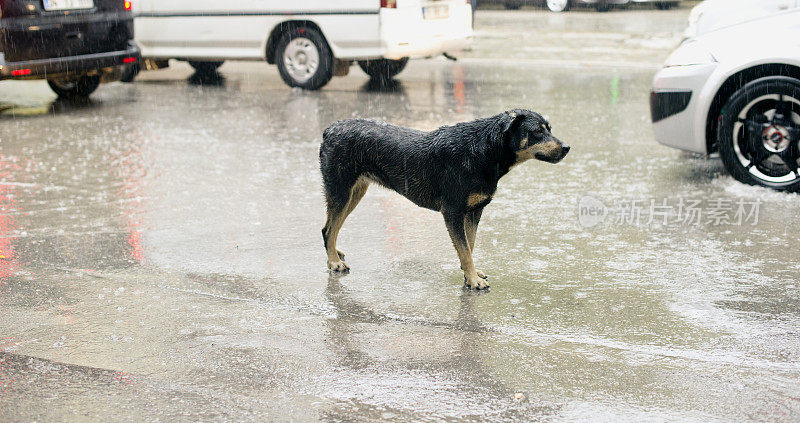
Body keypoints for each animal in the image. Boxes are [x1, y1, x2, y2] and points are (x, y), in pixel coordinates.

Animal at [318, 109, 568, 290]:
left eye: (549, 129)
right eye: (537, 132)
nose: (566, 147)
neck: (485, 150)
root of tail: (330, 129)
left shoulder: (473, 212)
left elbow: (469, 245)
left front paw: (469, 274)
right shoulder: (453, 212)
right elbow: (465, 249)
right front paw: (473, 280)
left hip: (355, 192)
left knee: (330, 226)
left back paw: (335, 253)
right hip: (341, 190)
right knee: (329, 229)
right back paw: (334, 261)